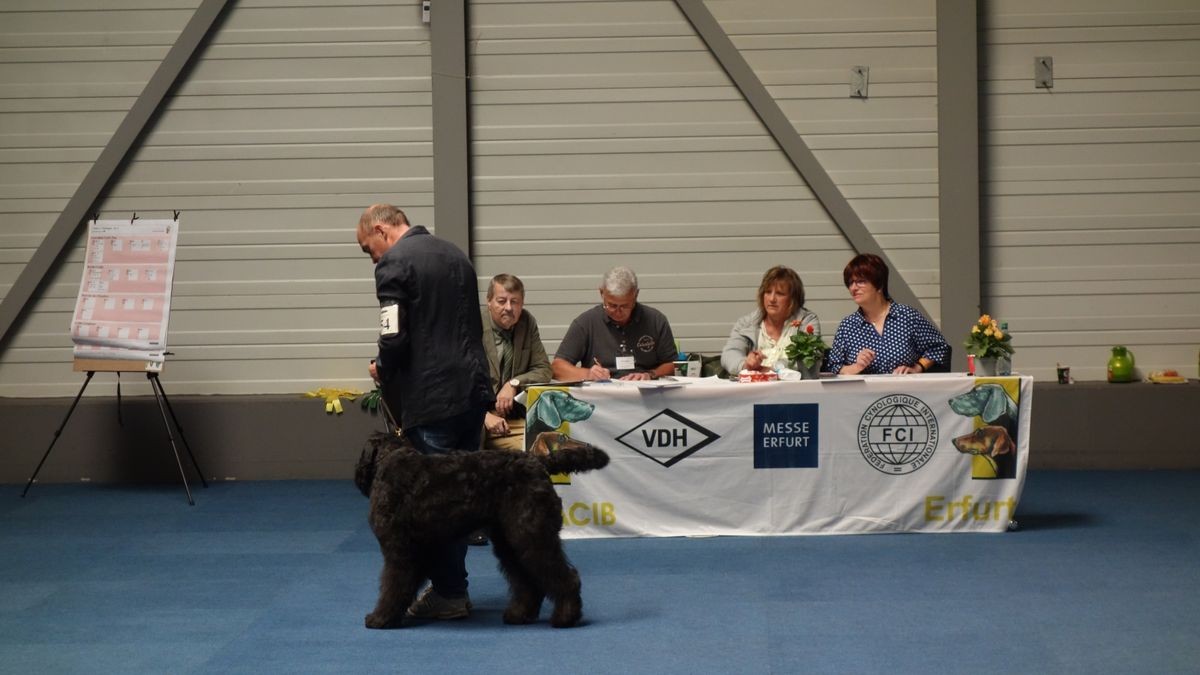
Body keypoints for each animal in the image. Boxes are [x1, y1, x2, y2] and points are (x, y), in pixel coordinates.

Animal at [350, 427, 604, 629]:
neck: (390, 461)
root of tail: (538, 462)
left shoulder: (399, 550)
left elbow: (392, 585)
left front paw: (380, 618)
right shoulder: (418, 550)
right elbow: (403, 585)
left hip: (532, 535)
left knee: (565, 577)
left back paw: (565, 617)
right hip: (511, 542)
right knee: (527, 582)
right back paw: (519, 614)